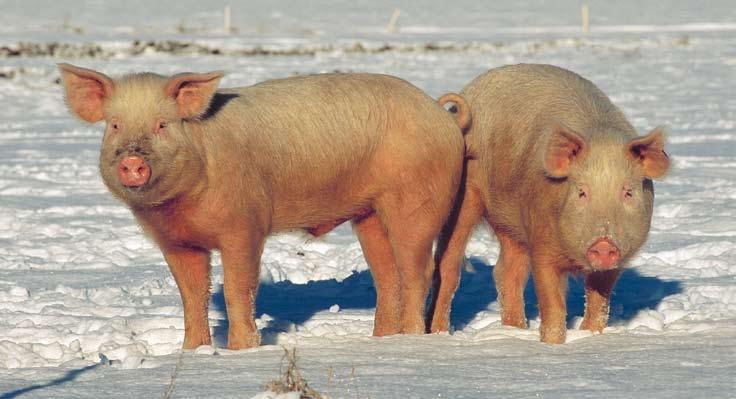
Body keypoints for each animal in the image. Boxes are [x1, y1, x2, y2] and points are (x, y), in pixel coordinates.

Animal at [59, 63, 466, 350]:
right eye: (114, 125)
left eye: (163, 124)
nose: (132, 161)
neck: (181, 205)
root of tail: (441, 114)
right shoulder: (176, 242)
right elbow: (192, 296)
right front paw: (191, 352)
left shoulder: (245, 225)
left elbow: (237, 289)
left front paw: (241, 350)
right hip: (367, 214)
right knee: (387, 275)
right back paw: (381, 341)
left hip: (416, 200)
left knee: (418, 270)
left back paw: (409, 341)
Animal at [428, 65, 668, 344]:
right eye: (581, 192)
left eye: (628, 192)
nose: (603, 243)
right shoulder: (541, 241)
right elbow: (551, 302)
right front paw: (552, 344)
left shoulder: (618, 259)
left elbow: (599, 302)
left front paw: (590, 335)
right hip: (465, 198)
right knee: (449, 266)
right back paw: (440, 333)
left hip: (512, 225)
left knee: (506, 272)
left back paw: (515, 329)